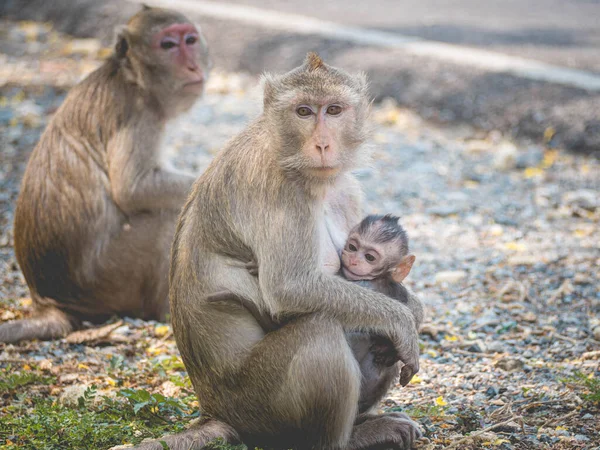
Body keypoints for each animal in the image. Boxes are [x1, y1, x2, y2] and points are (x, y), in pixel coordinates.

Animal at [0, 6, 211, 344]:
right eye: (168, 45)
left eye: (190, 40)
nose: (192, 65)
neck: (130, 78)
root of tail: (46, 302)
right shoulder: (138, 113)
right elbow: (133, 188)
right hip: (107, 278)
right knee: (166, 217)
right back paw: (165, 313)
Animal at [168, 52, 422, 450]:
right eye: (304, 111)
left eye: (333, 110)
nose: (322, 144)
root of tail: (214, 411)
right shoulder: (278, 189)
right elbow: (290, 287)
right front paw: (404, 320)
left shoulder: (346, 188)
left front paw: (415, 309)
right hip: (259, 406)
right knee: (320, 331)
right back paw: (349, 439)